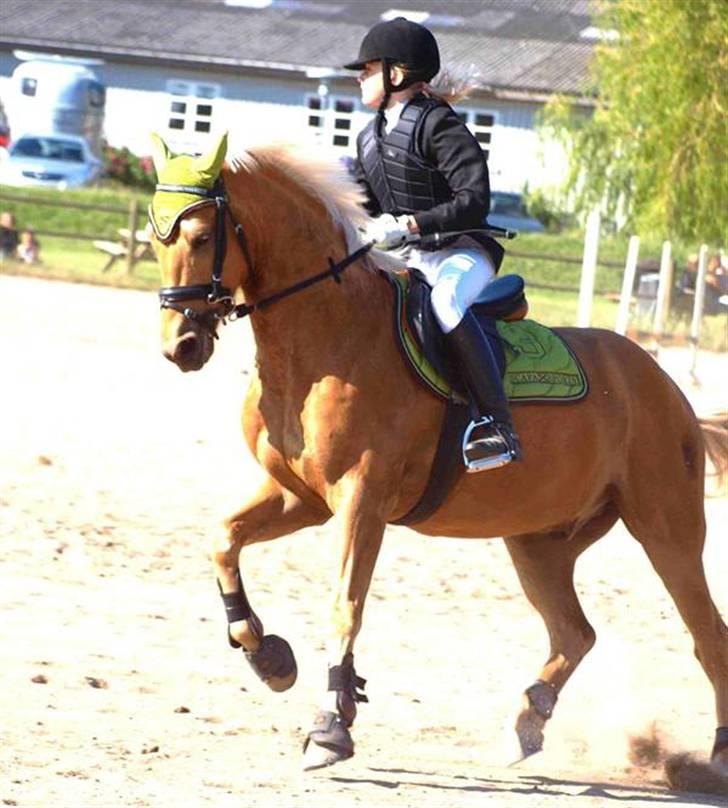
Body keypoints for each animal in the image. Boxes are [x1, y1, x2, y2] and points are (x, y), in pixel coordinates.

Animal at [149, 134, 728, 788]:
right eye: (156, 236)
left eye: (201, 237)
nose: (181, 346)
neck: (326, 336)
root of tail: (666, 386)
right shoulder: (302, 497)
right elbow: (223, 540)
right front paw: (268, 656)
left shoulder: (361, 503)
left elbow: (345, 607)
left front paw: (330, 727)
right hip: (539, 541)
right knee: (574, 633)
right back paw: (526, 723)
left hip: (666, 530)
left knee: (709, 638)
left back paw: (718, 754)